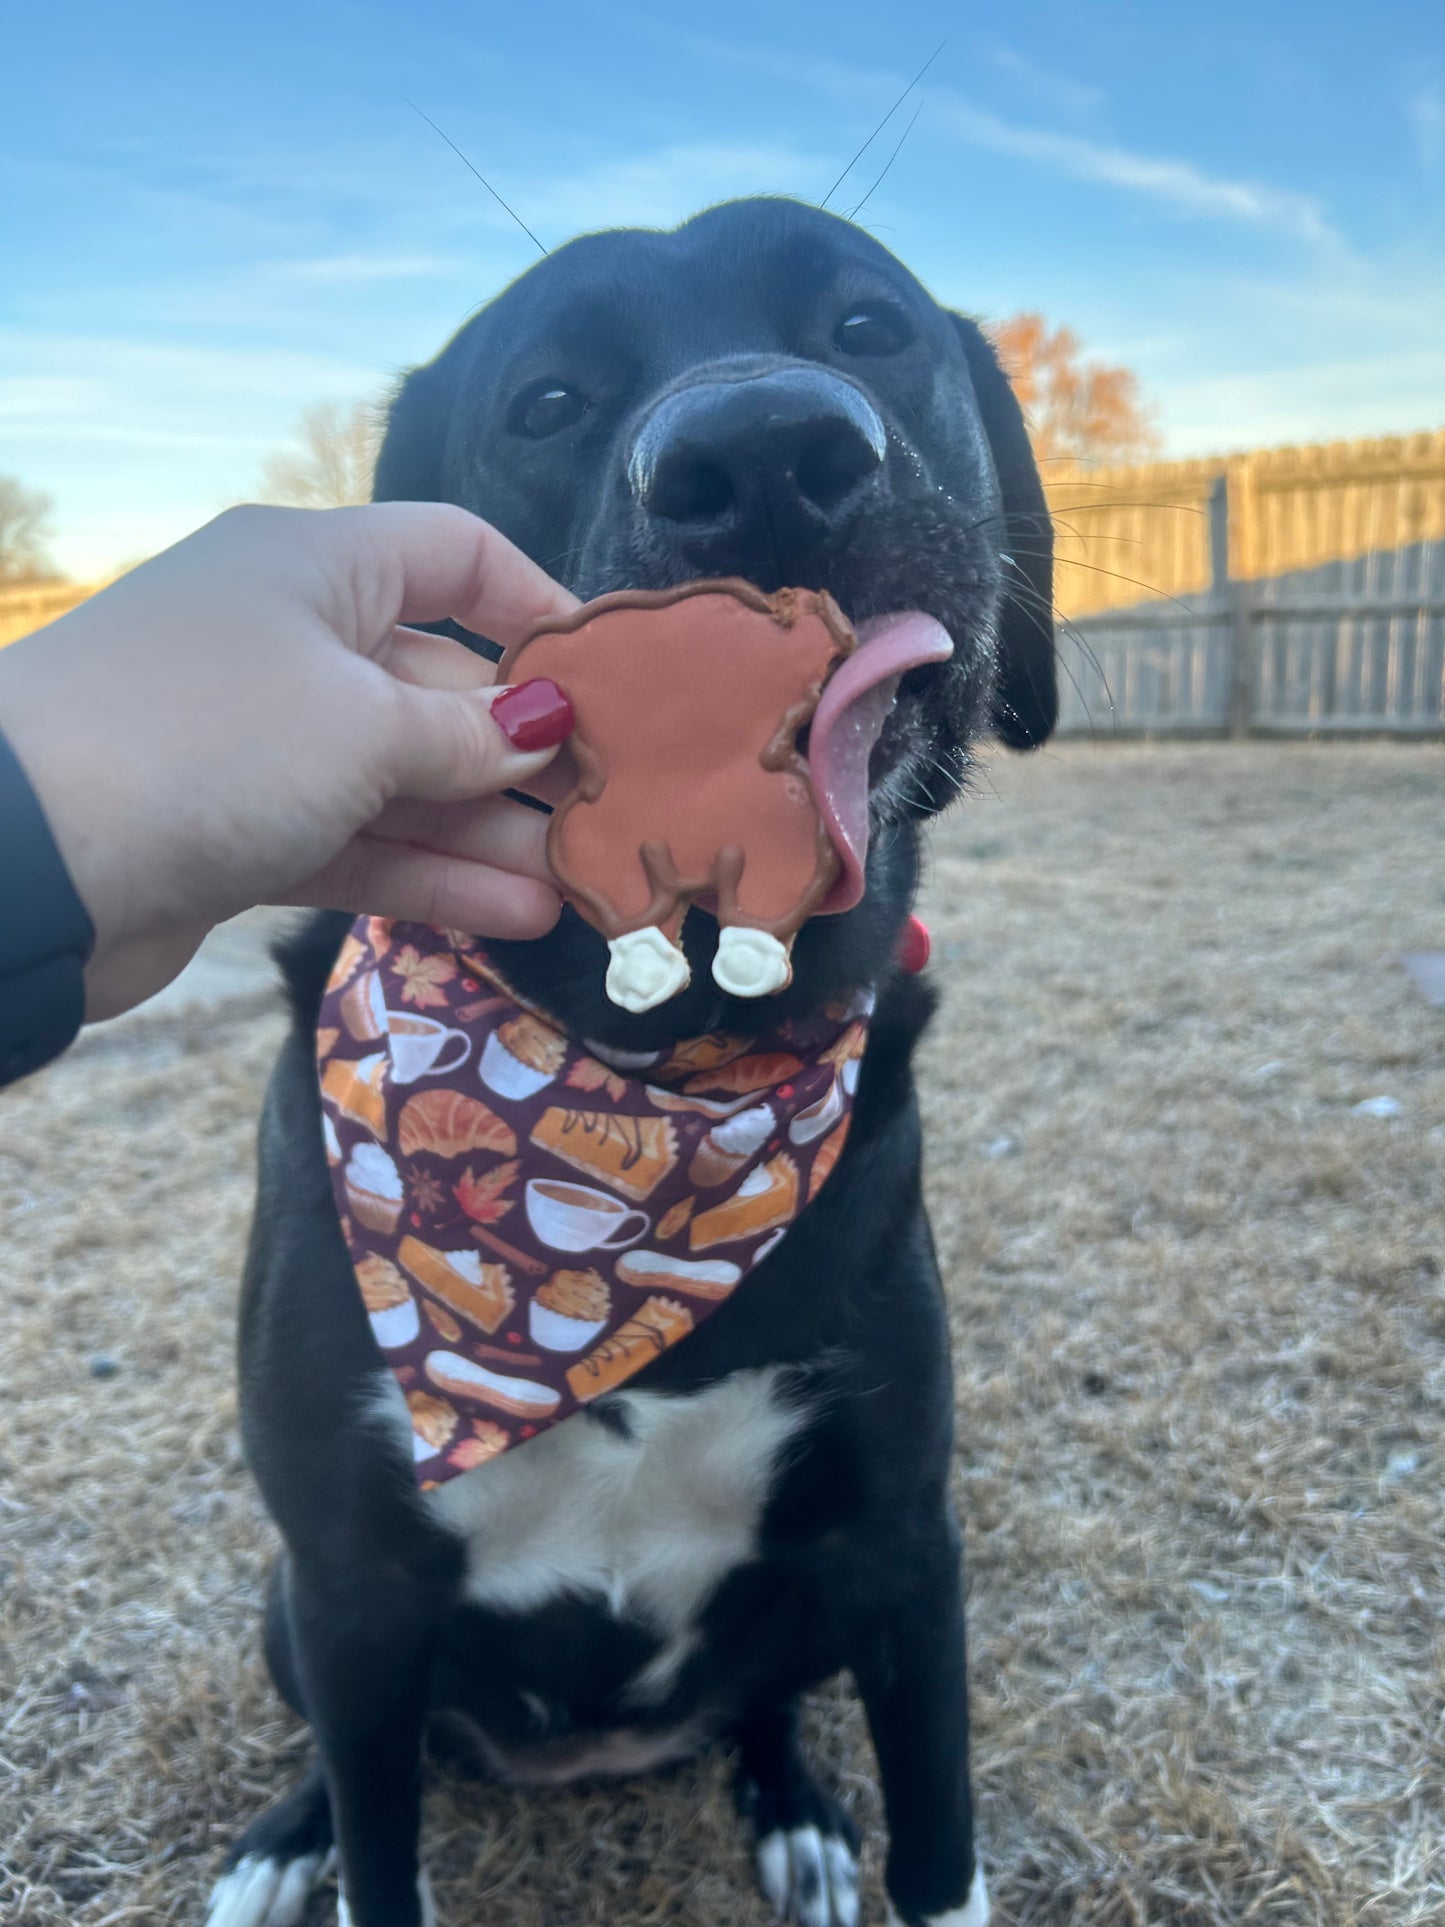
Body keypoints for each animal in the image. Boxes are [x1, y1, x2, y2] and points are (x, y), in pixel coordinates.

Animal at [209, 199, 1055, 1927]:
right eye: (545, 402)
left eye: (868, 328)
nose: (770, 449)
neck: (651, 1068)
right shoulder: (348, 1574)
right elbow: (382, 1854)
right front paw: (321, 1839)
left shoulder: (901, 1541)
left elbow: (942, 1841)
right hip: (285, 1608)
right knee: (343, 1749)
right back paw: (283, 1834)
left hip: (805, 1599)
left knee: (763, 1703)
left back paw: (795, 1809)